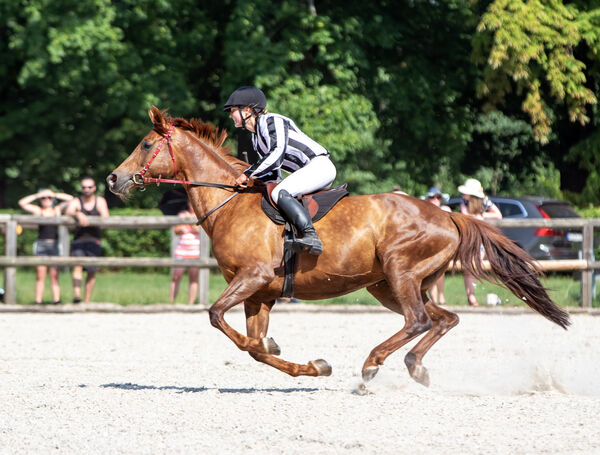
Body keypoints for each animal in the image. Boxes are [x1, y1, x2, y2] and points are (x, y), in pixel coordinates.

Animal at [105, 108, 568, 390]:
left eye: (145, 145)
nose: (113, 179)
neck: (230, 202)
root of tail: (449, 215)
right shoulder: (259, 294)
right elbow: (254, 347)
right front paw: (307, 365)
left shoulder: (253, 279)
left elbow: (220, 319)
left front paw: (307, 363)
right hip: (388, 285)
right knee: (443, 318)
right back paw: (415, 367)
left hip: (400, 272)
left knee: (419, 320)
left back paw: (371, 365)